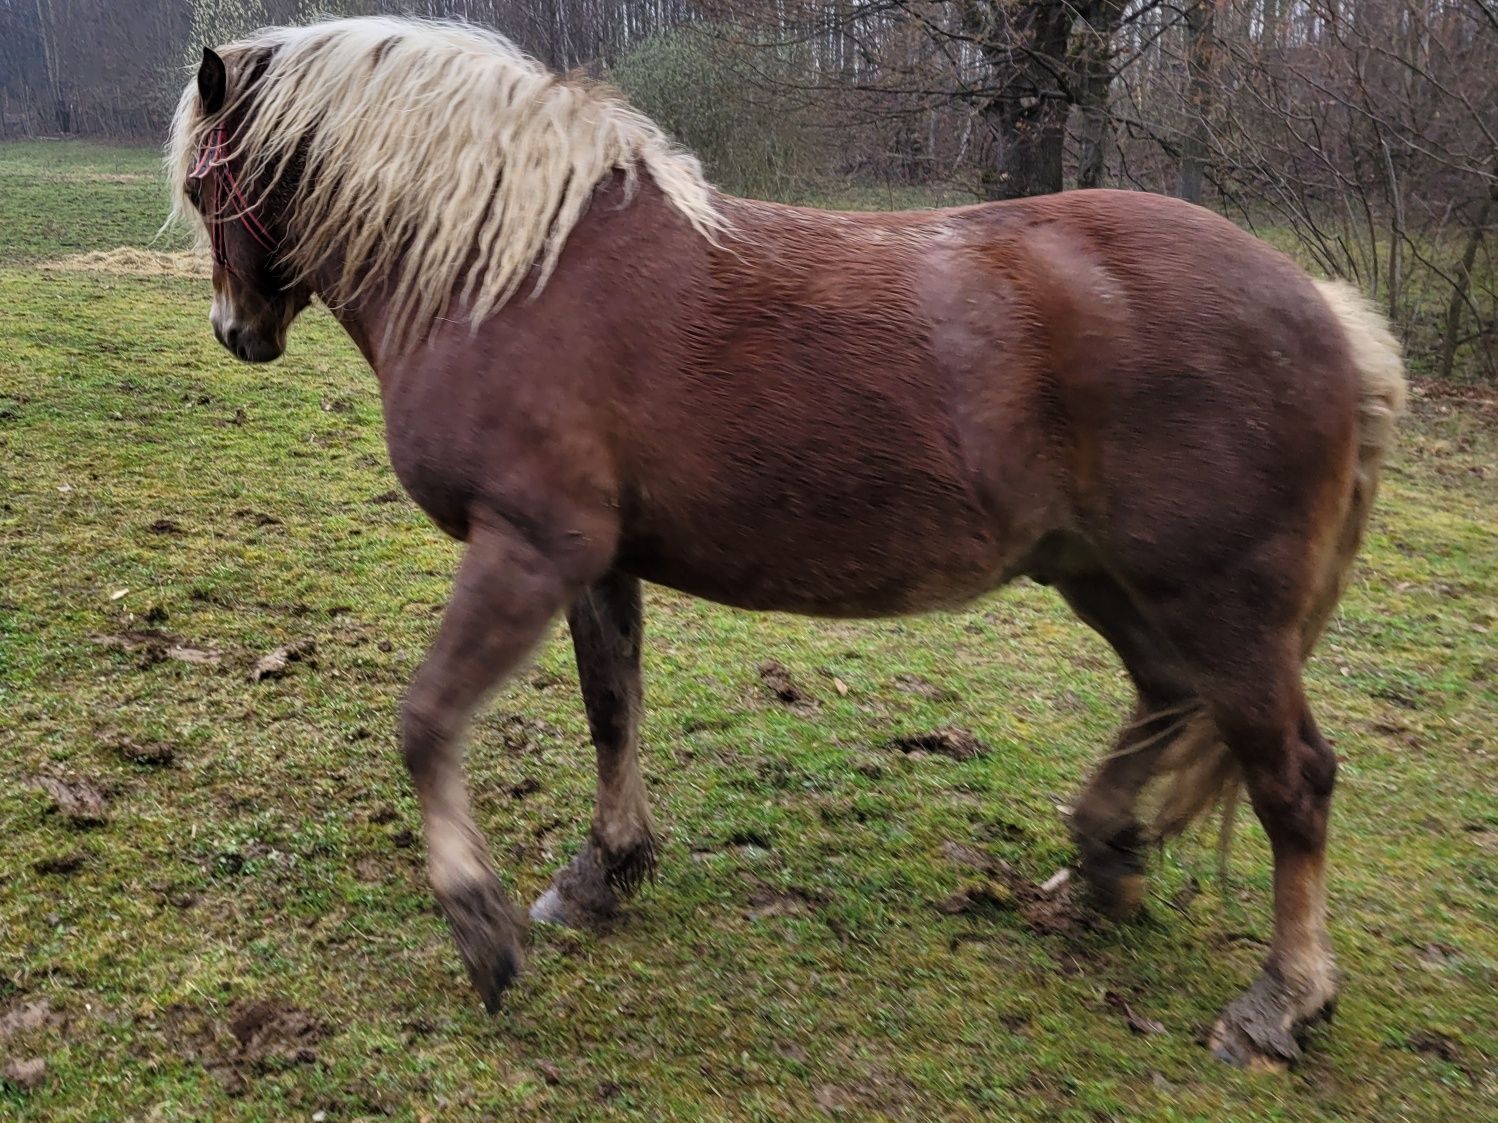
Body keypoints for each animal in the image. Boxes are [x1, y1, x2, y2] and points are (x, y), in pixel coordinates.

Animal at [170, 19, 1408, 1072]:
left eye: (198, 185)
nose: (237, 331)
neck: (514, 271)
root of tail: (1322, 310)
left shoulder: (526, 545)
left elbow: (427, 720)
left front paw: (480, 924)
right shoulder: (596, 562)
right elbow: (611, 708)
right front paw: (604, 872)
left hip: (1219, 602)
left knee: (1292, 778)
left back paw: (1279, 1000)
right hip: (1103, 574)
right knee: (1163, 693)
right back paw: (1102, 861)